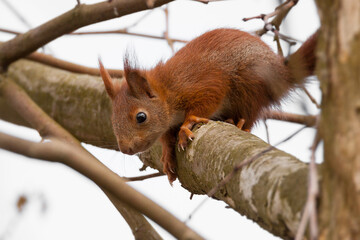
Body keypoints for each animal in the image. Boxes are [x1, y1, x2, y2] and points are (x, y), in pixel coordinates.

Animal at [98, 28, 318, 184]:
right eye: (113, 119)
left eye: (141, 117)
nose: (126, 149)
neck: (168, 91)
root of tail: (280, 72)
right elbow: (167, 137)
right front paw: (167, 154)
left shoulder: (204, 83)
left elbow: (209, 98)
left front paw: (187, 124)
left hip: (250, 84)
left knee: (251, 112)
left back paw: (239, 123)